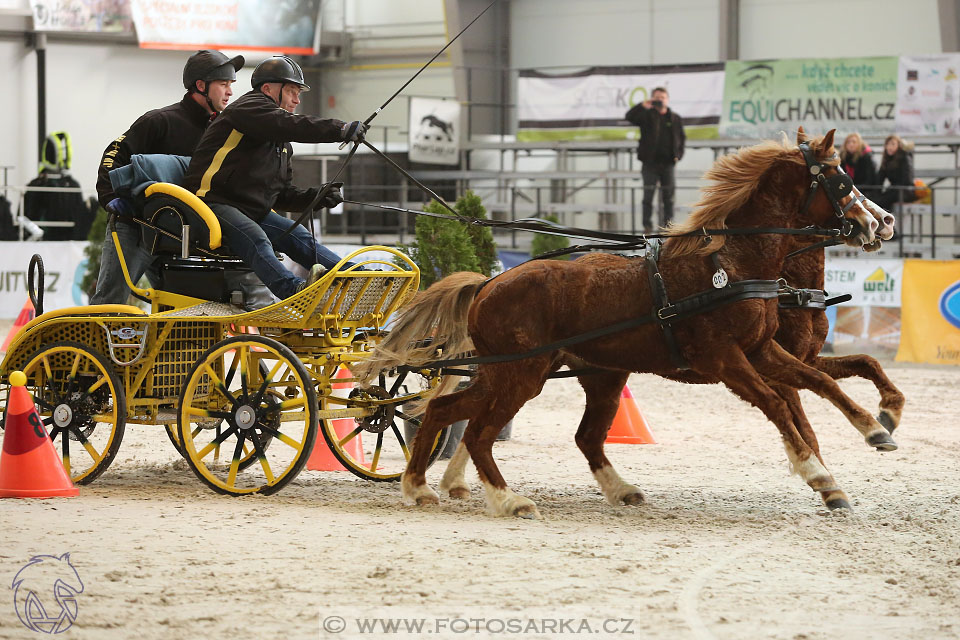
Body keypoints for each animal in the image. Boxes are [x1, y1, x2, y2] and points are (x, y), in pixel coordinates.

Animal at [360, 127, 884, 516]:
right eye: (840, 179)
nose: (878, 223)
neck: (731, 264)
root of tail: (490, 283)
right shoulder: (724, 359)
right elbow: (779, 405)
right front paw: (820, 473)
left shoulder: (762, 350)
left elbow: (820, 381)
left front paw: (876, 429)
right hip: (521, 374)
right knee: (478, 432)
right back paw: (508, 499)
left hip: (564, 374)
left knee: (454, 414)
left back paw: (421, 487)